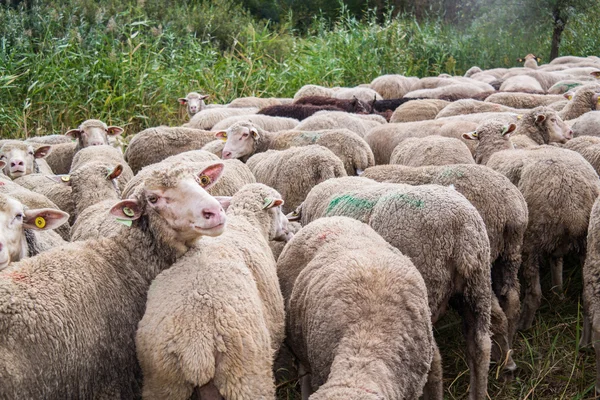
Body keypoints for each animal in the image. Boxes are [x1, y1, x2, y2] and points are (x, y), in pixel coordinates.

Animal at [139, 184, 292, 396]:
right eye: (279, 208)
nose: (290, 228)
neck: (246, 222)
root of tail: (196, 344)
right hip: (245, 374)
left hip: (163, 380)